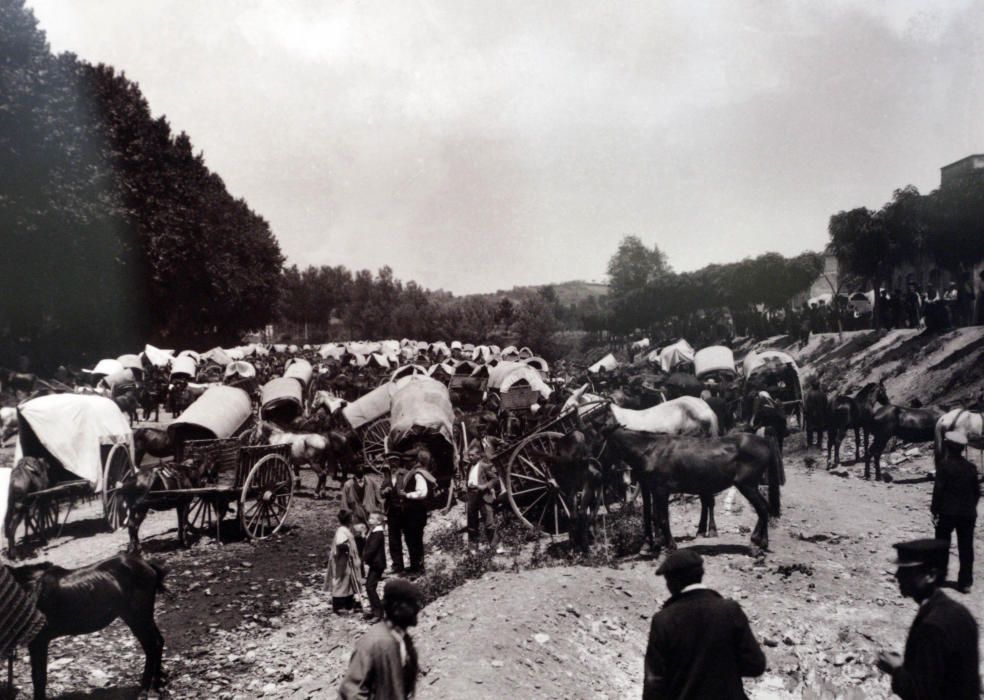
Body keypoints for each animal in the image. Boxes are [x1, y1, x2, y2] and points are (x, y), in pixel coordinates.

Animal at [10, 556, 167, 696]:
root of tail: (146, 564)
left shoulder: (38, 641)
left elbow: (39, 678)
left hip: (138, 616)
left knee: (151, 646)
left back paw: (145, 688)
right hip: (141, 617)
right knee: (158, 641)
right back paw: (157, 682)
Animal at [604, 430, 780, 556]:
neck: (651, 451)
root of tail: (765, 441)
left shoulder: (661, 490)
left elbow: (662, 518)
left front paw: (669, 546)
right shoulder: (653, 489)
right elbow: (653, 517)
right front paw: (655, 545)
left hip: (747, 485)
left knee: (762, 509)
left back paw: (757, 543)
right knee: (764, 508)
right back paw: (760, 542)